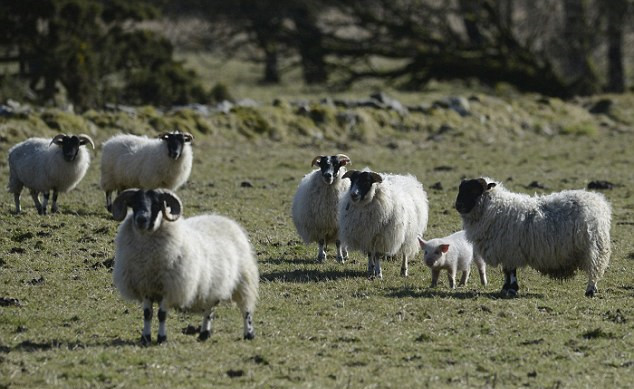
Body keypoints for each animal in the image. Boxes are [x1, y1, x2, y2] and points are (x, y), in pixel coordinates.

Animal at [454, 177, 612, 296]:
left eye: (474, 190)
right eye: (461, 189)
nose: (458, 205)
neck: (494, 208)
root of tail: (597, 201)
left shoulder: (511, 250)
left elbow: (511, 271)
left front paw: (511, 289)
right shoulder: (506, 251)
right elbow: (506, 271)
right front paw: (505, 288)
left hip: (593, 246)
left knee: (594, 269)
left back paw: (590, 291)